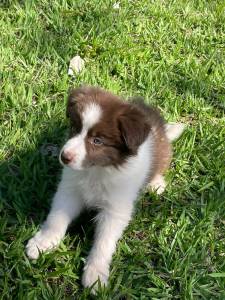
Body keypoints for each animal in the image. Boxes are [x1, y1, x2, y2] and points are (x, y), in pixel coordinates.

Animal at [26, 86, 185, 290]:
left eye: (97, 141)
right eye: (75, 128)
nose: (64, 157)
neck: (97, 170)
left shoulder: (116, 209)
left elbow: (104, 241)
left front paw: (95, 273)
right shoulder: (69, 190)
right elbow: (56, 218)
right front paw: (43, 242)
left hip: (163, 155)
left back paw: (156, 183)